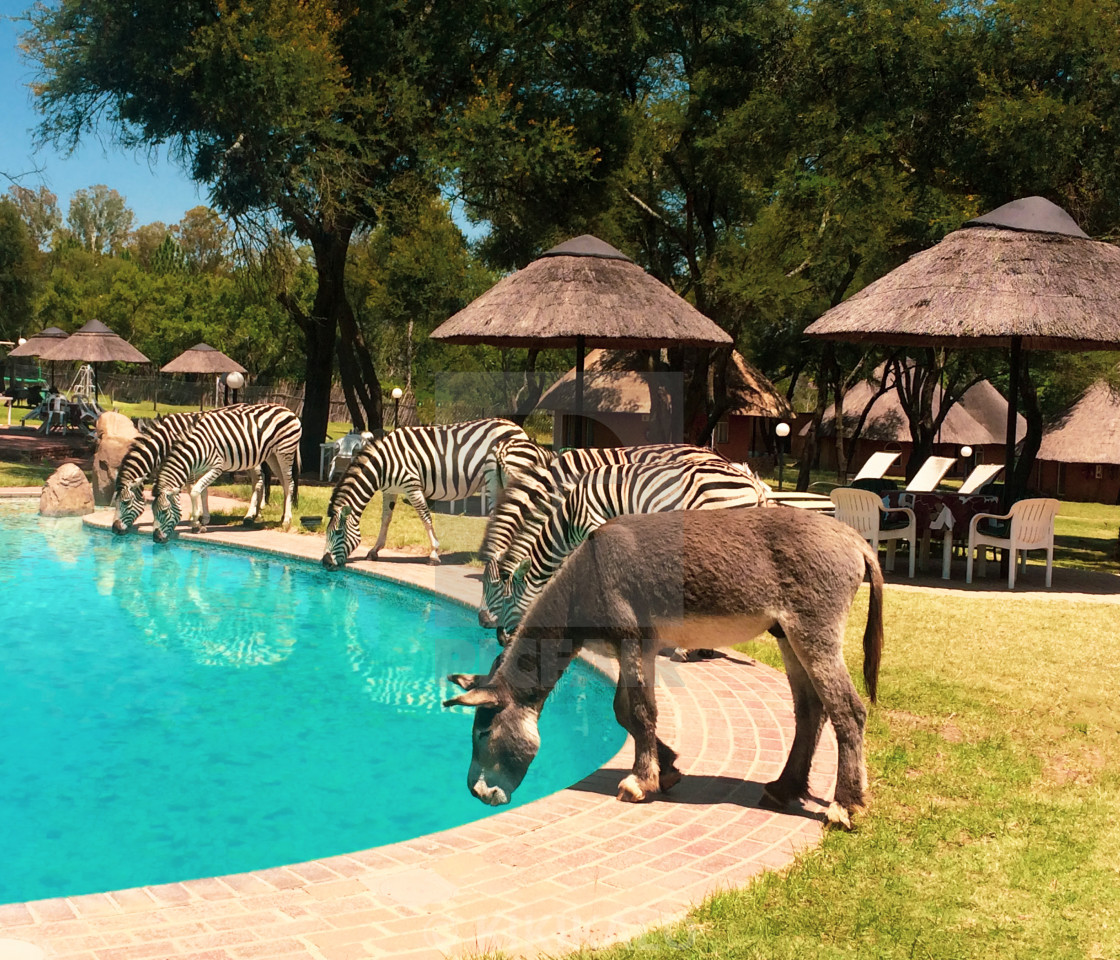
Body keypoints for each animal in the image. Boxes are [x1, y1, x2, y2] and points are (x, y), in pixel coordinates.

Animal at [153, 401, 304, 542]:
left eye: (164, 512)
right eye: (153, 512)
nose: (156, 538)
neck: (196, 448)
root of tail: (288, 410)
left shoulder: (216, 467)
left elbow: (195, 491)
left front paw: (195, 522)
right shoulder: (202, 469)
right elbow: (203, 492)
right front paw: (204, 520)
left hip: (285, 451)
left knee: (289, 483)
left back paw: (286, 521)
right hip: (272, 455)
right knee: (284, 484)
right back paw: (282, 517)